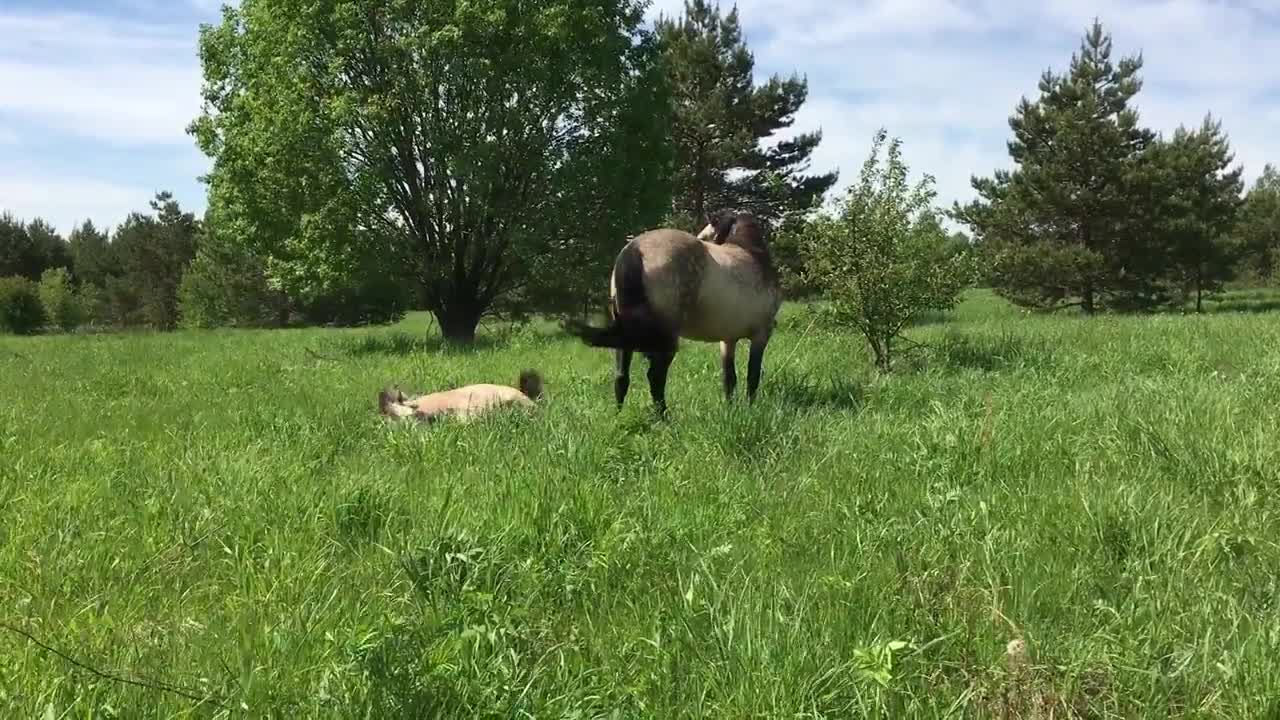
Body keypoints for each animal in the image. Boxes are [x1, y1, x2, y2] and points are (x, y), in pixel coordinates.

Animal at [568, 210, 778, 412]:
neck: (752, 254)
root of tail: (635, 249)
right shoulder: (761, 334)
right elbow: (752, 375)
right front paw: (750, 408)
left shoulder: (728, 339)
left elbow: (729, 378)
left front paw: (731, 410)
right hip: (666, 338)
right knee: (655, 377)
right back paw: (664, 417)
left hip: (626, 334)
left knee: (621, 376)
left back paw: (619, 414)